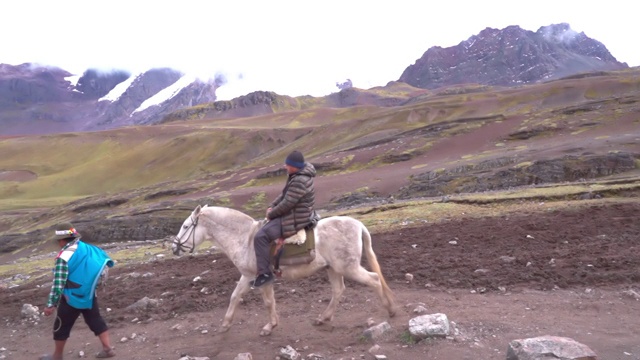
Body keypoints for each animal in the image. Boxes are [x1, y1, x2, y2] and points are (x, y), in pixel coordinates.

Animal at [172, 204, 398, 336]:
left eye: (185, 227)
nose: (174, 247)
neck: (245, 238)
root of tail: (358, 224)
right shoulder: (248, 276)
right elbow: (235, 296)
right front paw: (226, 324)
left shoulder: (262, 278)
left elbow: (267, 302)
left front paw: (269, 326)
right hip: (333, 269)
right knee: (338, 290)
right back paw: (323, 318)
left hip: (349, 267)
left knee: (374, 279)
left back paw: (391, 310)